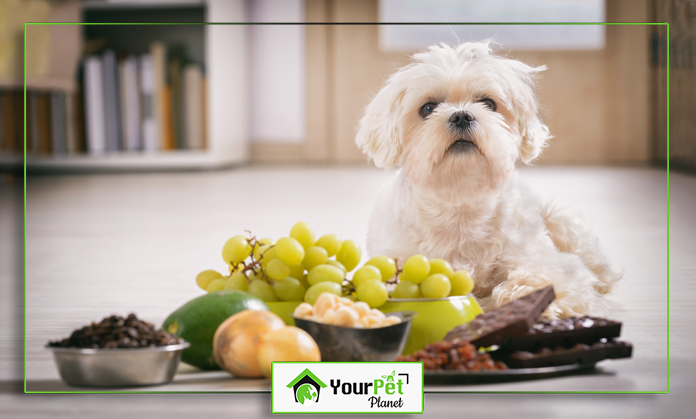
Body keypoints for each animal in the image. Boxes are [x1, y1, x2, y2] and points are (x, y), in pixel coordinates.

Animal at [358, 42, 620, 318]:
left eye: (488, 103)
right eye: (428, 108)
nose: (461, 115)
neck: (460, 199)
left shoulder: (545, 260)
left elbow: (545, 277)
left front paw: (526, 297)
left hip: (561, 221)